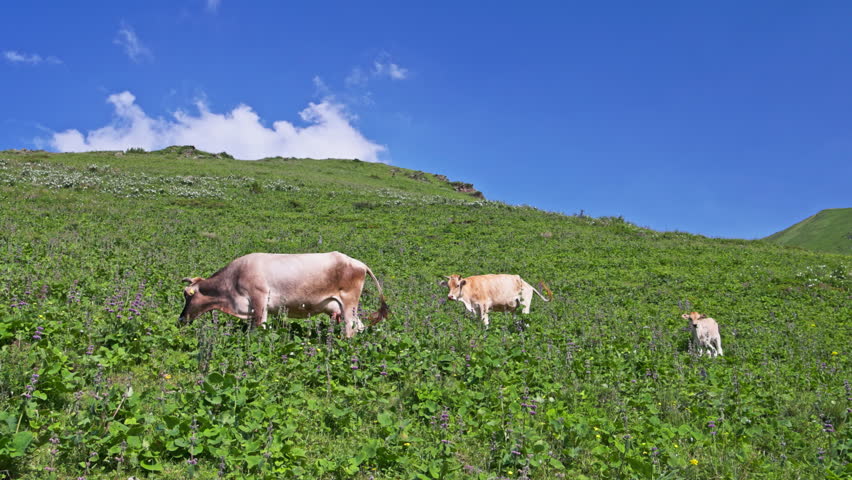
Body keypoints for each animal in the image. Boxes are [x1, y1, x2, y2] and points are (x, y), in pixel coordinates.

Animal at [178, 252, 389, 338]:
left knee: (350, 330)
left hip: (348, 304)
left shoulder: (259, 300)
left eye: (188, 295)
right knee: (359, 327)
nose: (181, 319)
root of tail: (359, 263)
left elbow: (259, 328)